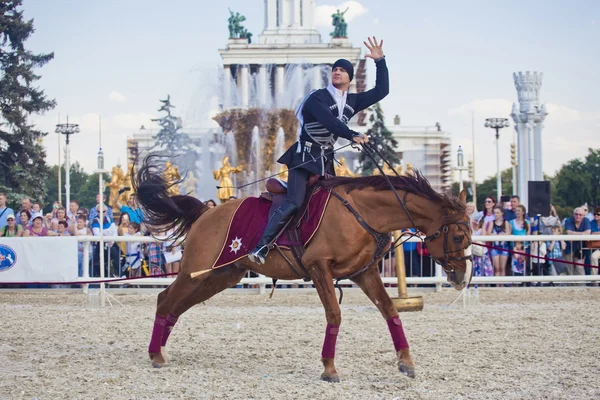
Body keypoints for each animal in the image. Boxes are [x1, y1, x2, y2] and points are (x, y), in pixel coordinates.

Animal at [136, 156, 474, 382]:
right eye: (458, 236)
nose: (462, 277)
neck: (361, 211)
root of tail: (206, 212)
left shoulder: (363, 273)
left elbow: (390, 311)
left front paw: (406, 362)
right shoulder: (318, 268)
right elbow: (334, 315)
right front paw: (329, 368)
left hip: (219, 276)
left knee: (176, 306)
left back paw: (161, 349)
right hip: (197, 271)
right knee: (165, 300)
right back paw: (155, 354)